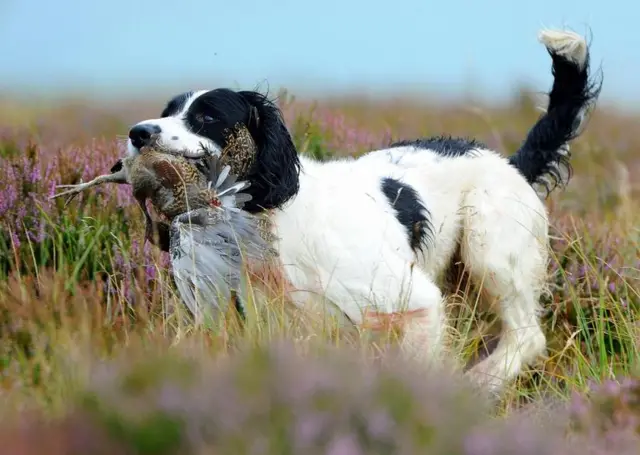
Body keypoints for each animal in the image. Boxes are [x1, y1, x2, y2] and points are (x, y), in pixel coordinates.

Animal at [127, 29, 604, 392]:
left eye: (207, 117)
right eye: (168, 111)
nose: (138, 132)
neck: (272, 225)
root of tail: (509, 163)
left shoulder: (416, 304)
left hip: (491, 253)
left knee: (528, 335)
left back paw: (480, 384)